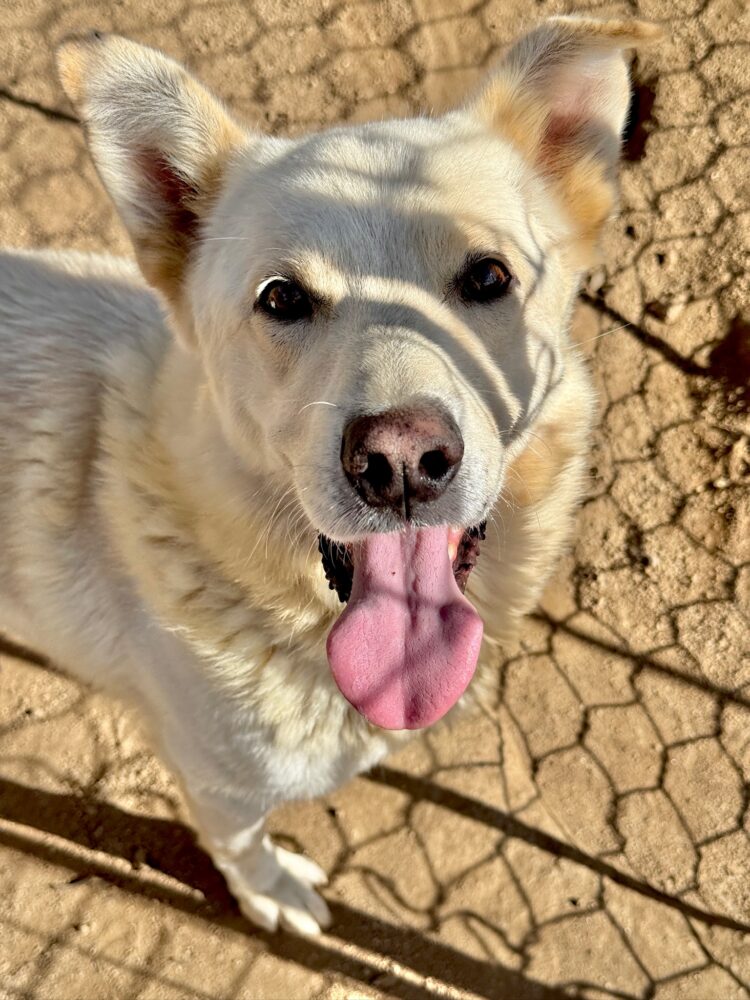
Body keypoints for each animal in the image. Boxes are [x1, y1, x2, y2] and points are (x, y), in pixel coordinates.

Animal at [0, 16, 658, 934]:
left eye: (488, 276)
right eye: (281, 299)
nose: (400, 463)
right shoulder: (221, 784)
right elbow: (242, 847)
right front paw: (271, 896)